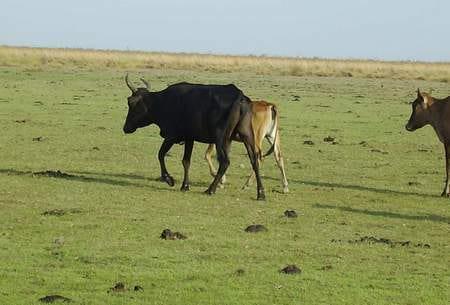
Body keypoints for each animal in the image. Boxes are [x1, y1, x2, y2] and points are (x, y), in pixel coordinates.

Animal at [121, 74, 266, 200]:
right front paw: (185, 185)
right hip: (246, 136)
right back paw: (261, 193)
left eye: (130, 102)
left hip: (221, 139)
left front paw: (169, 179)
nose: (125, 128)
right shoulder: (189, 138)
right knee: (255, 160)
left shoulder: (171, 137)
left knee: (225, 161)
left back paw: (210, 189)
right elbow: (186, 161)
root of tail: (239, 96)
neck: (162, 102)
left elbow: (161, 154)